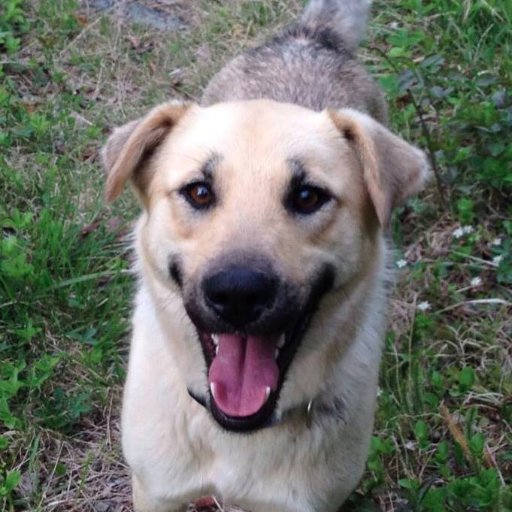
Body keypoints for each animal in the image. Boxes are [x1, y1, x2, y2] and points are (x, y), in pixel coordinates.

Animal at [102, 2, 430, 510]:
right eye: (198, 191)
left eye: (308, 196)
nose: (237, 294)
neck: (236, 433)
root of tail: (308, 37)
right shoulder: (157, 490)